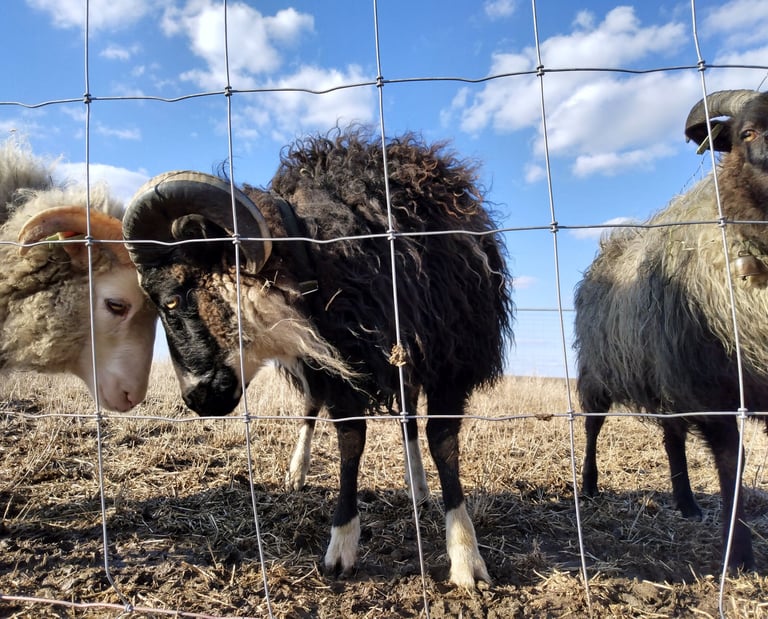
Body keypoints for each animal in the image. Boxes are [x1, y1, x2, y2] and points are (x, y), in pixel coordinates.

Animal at [121, 127, 514, 588]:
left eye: (170, 299)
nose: (195, 400)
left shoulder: (451, 358)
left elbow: (443, 443)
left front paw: (465, 555)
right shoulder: (339, 364)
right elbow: (350, 441)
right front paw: (342, 544)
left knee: (408, 421)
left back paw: (417, 487)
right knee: (311, 409)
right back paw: (298, 472)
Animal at [573, 89, 768, 571]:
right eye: (747, 133)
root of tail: (613, 243)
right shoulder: (712, 386)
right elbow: (731, 465)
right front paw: (737, 557)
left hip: (662, 375)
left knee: (671, 438)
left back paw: (686, 502)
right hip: (598, 371)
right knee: (592, 427)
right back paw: (588, 485)